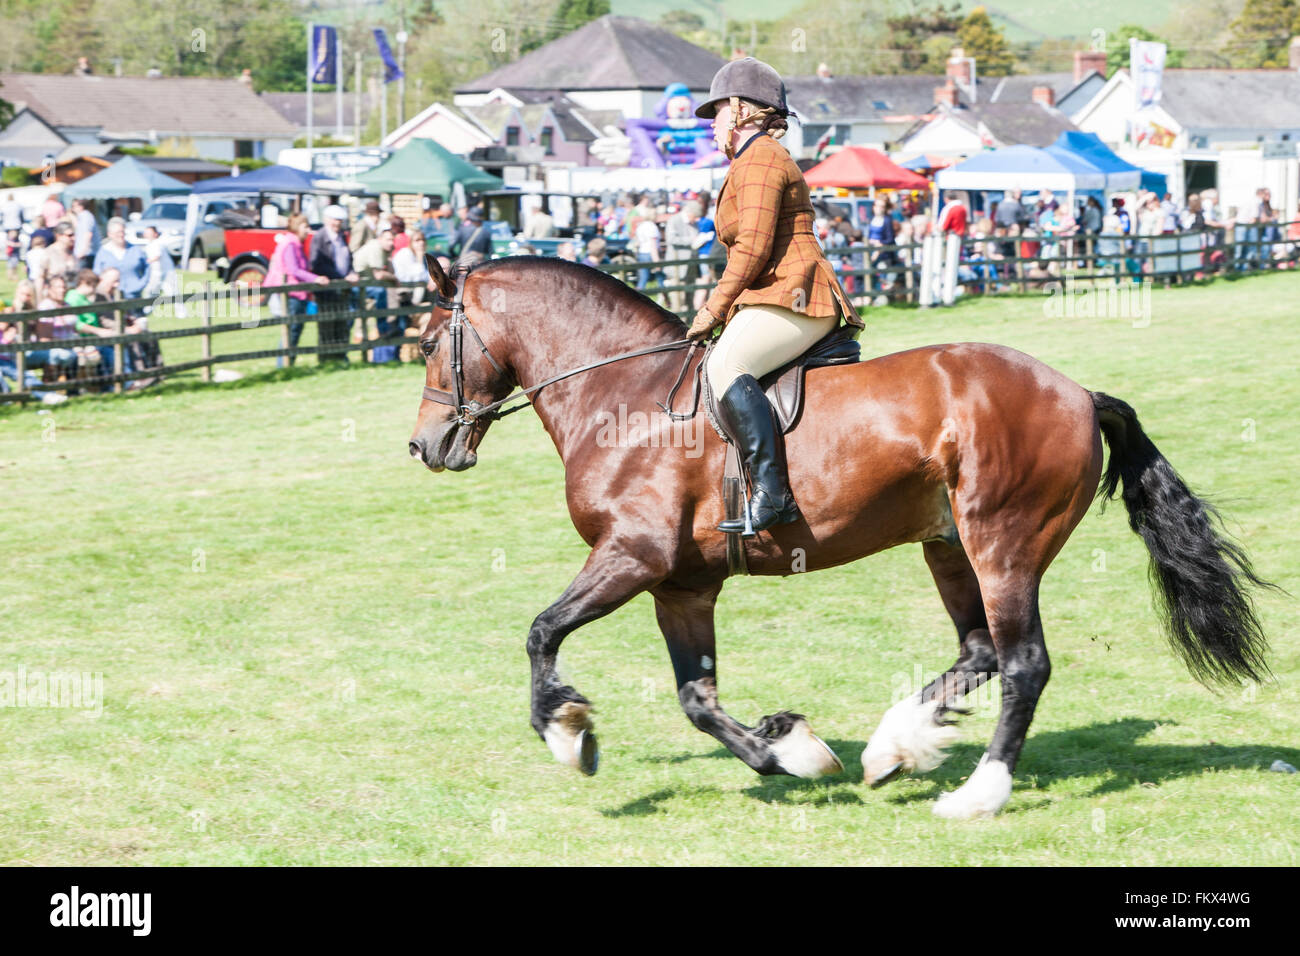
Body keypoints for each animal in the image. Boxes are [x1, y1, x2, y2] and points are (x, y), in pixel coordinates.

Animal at [410, 256, 1274, 822]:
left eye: (422, 342)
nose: (425, 447)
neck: (622, 394)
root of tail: (1078, 394)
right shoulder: (680, 584)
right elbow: (696, 698)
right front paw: (790, 749)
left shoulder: (631, 558)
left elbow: (541, 632)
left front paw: (567, 733)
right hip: (947, 544)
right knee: (979, 652)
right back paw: (896, 747)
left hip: (1003, 543)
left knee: (1023, 662)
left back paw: (975, 795)